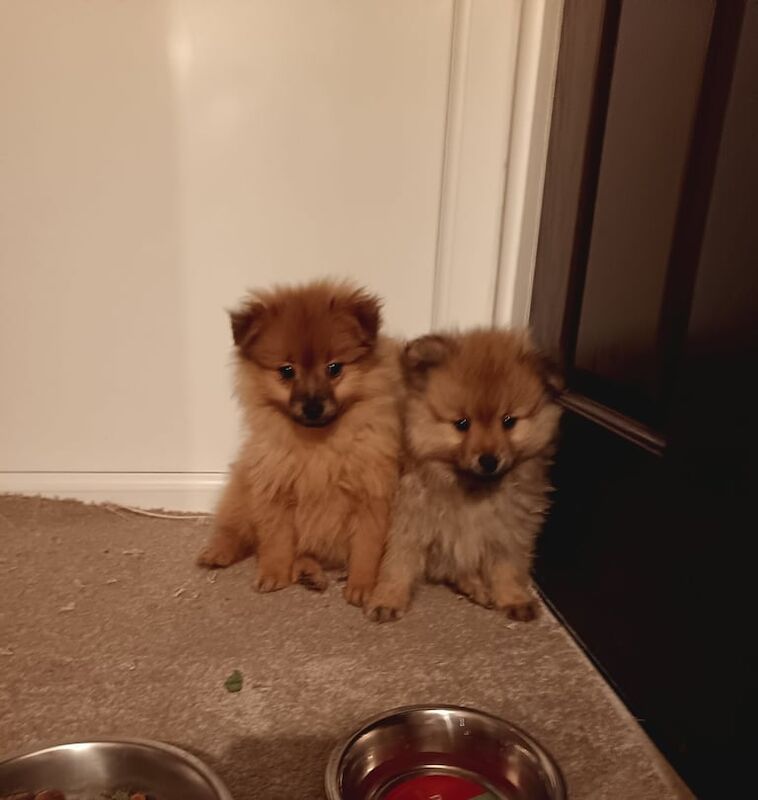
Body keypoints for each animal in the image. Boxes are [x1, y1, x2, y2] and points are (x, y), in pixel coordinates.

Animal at [199, 278, 406, 604]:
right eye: (287, 371)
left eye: (334, 368)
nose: (312, 407)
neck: (318, 446)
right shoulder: (275, 493)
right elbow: (276, 542)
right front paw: (273, 574)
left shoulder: (372, 498)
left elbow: (366, 549)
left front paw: (362, 586)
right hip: (244, 489)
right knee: (235, 527)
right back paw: (218, 551)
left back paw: (310, 572)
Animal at [368, 328, 564, 620]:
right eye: (462, 424)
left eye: (509, 421)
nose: (489, 460)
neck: (470, 487)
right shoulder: (409, 521)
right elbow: (397, 563)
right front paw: (388, 599)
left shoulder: (508, 527)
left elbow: (508, 565)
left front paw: (514, 597)